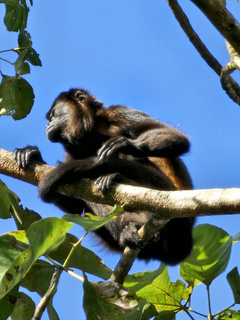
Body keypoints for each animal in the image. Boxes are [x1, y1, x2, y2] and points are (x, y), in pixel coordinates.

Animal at [14, 88, 195, 264]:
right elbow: (75, 203)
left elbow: (178, 138)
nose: (47, 124)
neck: (90, 132)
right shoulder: (71, 152)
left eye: (53, 114)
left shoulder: (118, 112)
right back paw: (128, 231)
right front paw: (32, 154)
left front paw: (125, 144)